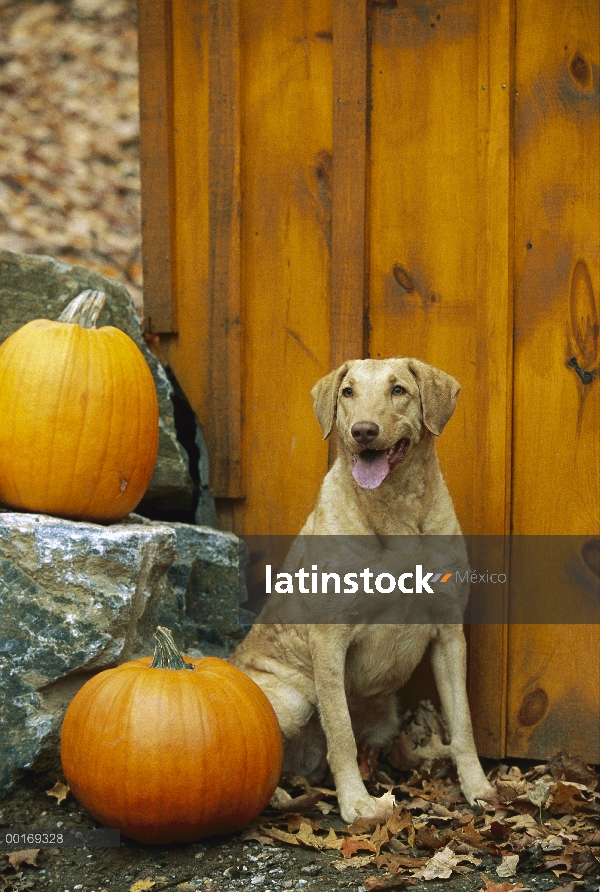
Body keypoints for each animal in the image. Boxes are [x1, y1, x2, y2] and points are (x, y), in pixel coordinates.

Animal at [230, 358, 492, 820]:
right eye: (347, 392)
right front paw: (356, 803)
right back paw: (277, 798)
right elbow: (340, 732)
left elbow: (462, 722)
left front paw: (476, 787)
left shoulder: (449, 635)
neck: (395, 511)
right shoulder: (329, 639)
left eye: (399, 390)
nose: (364, 431)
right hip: (294, 699)